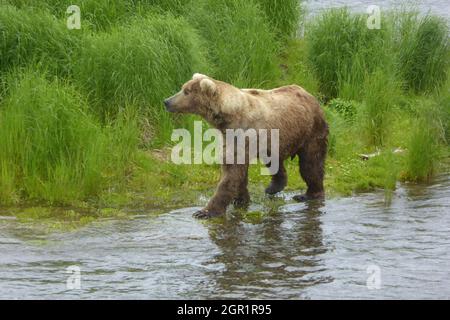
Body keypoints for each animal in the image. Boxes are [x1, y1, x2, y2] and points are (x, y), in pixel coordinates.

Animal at [164, 74, 326, 219]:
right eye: (183, 88)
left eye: (186, 91)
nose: (167, 101)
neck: (228, 117)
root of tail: (309, 94)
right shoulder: (229, 137)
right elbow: (235, 171)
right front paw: (240, 199)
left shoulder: (243, 135)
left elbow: (231, 174)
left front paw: (204, 212)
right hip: (274, 141)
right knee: (275, 162)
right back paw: (273, 187)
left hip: (311, 132)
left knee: (311, 164)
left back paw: (309, 194)